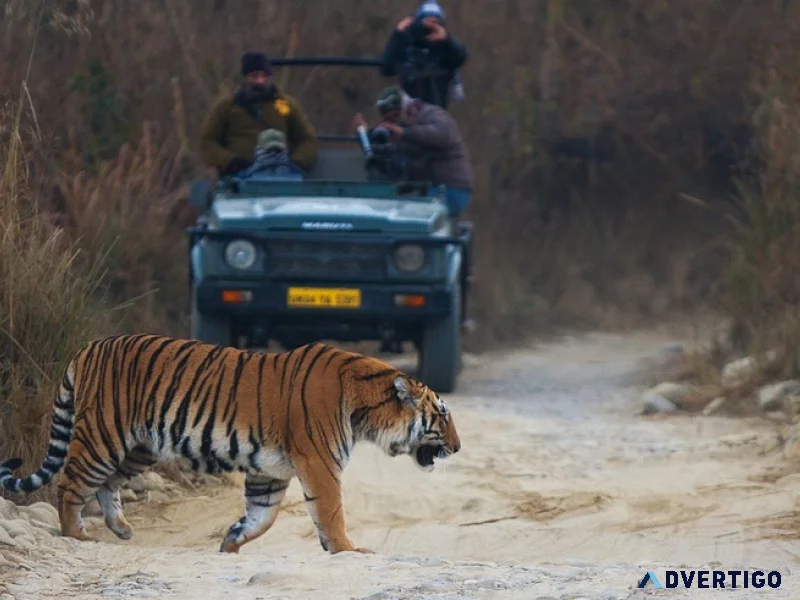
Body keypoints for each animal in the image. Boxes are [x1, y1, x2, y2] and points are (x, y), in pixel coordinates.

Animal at [0, 334, 460, 554]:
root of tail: (90, 346)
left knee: (108, 484)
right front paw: (348, 549)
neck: (365, 408)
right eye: (442, 415)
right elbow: (330, 511)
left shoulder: (269, 472)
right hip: (102, 435)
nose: (457, 448)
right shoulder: (319, 463)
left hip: (139, 447)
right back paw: (78, 535)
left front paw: (231, 541)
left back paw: (121, 528)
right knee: (70, 485)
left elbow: (263, 517)